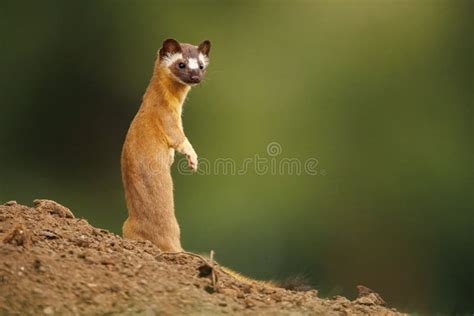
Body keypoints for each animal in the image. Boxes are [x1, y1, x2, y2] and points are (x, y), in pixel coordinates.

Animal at [121, 39, 210, 252]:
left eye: (201, 65)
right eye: (181, 64)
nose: (195, 77)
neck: (177, 110)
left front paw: (171, 158)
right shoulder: (166, 120)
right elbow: (179, 139)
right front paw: (193, 159)